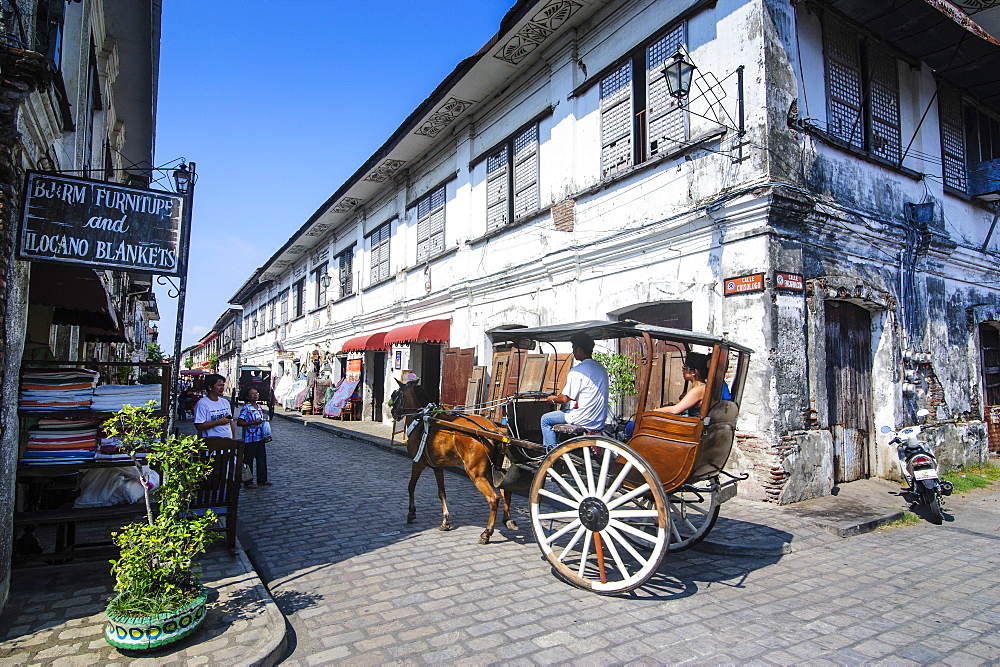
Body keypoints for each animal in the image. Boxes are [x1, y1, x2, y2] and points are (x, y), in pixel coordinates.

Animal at [388, 380, 516, 544]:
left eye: (396, 394)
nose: (393, 413)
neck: (422, 419)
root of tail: (493, 429)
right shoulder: (437, 467)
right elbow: (441, 492)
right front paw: (445, 521)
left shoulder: (417, 463)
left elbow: (411, 486)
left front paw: (411, 513)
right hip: (492, 470)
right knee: (506, 490)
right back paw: (508, 520)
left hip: (476, 474)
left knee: (493, 499)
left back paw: (486, 533)